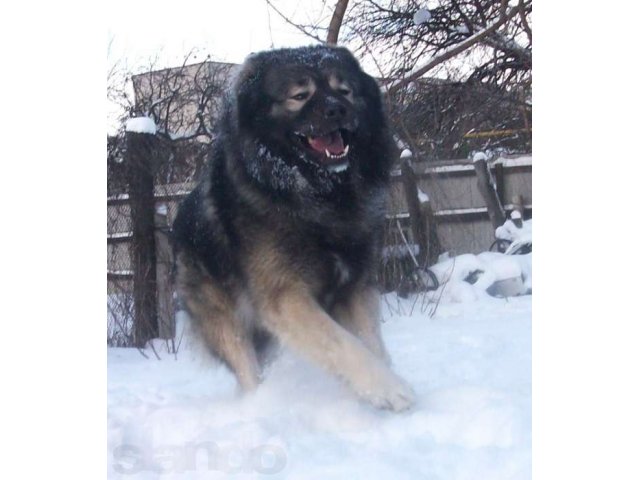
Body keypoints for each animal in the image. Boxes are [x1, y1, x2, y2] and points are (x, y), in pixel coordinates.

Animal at [175, 45, 416, 410]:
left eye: (344, 90)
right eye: (300, 95)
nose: (337, 109)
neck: (318, 196)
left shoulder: (354, 288)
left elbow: (369, 341)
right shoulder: (286, 297)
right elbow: (341, 343)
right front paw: (388, 388)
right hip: (227, 321)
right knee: (248, 372)